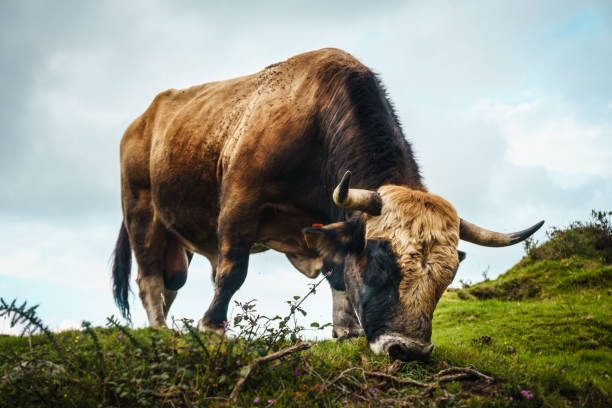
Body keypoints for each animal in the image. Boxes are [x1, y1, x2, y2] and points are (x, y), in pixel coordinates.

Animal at [112, 48, 544, 360]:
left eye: (449, 275)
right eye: (381, 263)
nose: (409, 350)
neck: (316, 123)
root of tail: (143, 119)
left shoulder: (330, 220)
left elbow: (338, 275)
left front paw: (345, 331)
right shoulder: (240, 202)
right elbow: (233, 270)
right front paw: (213, 327)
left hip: (177, 241)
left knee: (170, 282)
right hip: (141, 210)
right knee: (149, 277)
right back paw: (158, 329)